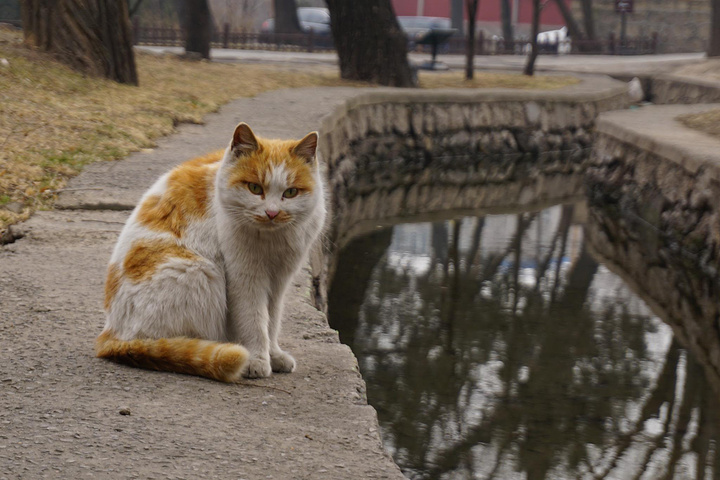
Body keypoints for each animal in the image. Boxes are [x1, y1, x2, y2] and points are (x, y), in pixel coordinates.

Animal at [95, 124, 326, 382]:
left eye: (291, 192)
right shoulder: (246, 279)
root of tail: (111, 334)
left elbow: (272, 321)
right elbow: (255, 320)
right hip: (201, 272)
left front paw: (274, 355)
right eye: (255, 188)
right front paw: (258, 359)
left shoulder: (279, 280)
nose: (272, 213)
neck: (271, 240)